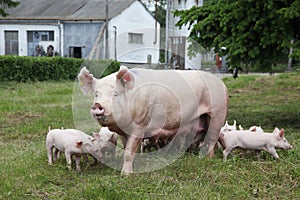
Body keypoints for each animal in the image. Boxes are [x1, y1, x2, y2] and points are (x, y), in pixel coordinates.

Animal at [77, 66, 227, 175]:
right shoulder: (123, 133)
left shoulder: (140, 124)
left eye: (115, 94)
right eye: (96, 94)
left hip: (218, 112)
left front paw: (125, 175)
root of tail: (221, 83)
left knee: (212, 138)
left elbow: (129, 151)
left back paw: (208, 158)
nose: (97, 105)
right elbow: (127, 149)